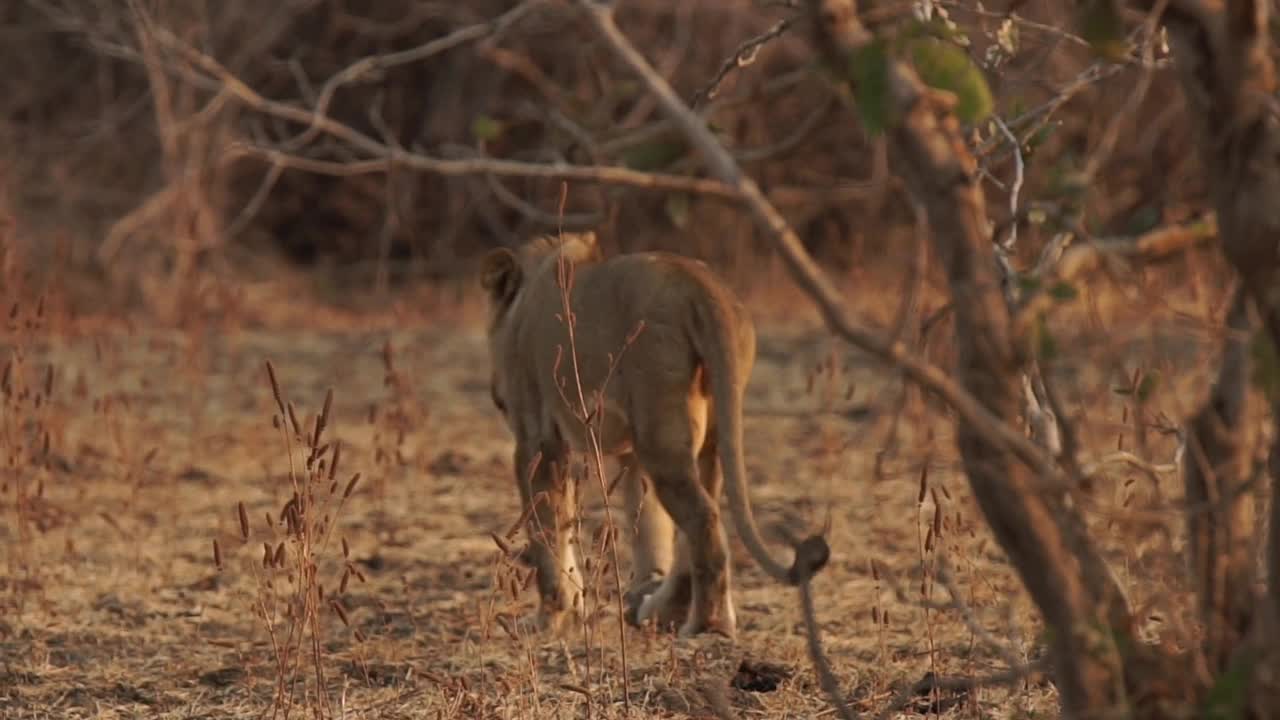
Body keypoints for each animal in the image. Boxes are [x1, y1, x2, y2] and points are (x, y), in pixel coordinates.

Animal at [481, 228, 829, 632]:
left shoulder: (537, 440)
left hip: (661, 435)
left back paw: (705, 625)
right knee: (701, 516)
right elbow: (643, 521)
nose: (495, 395)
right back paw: (666, 610)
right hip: (706, 430)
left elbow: (547, 529)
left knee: (703, 518)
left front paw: (551, 616)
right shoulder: (628, 452)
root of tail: (700, 284)